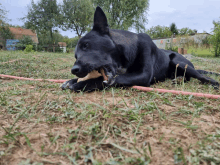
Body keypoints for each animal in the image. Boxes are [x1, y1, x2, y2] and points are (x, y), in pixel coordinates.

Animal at [61, 6, 219, 91]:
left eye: (86, 45)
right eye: (75, 56)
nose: (74, 70)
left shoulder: (143, 75)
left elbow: (104, 79)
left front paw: (82, 84)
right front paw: (72, 80)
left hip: (178, 61)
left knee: (202, 77)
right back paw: (178, 79)